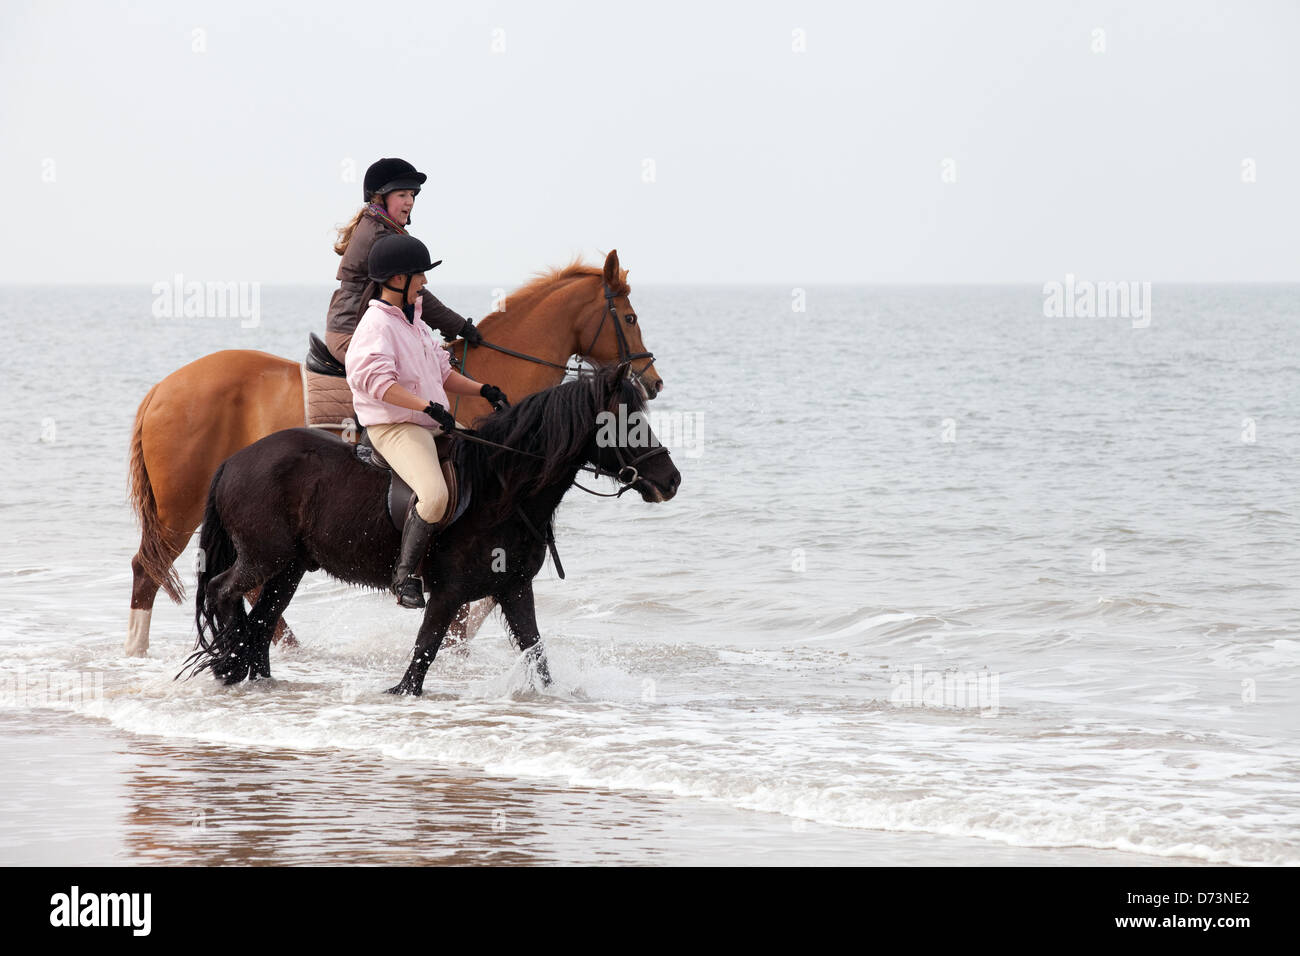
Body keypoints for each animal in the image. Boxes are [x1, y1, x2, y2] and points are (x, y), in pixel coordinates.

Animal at [127, 249, 662, 657]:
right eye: (630, 318)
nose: (653, 382)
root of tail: (161, 389)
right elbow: (468, 602)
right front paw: (456, 645)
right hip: (182, 509)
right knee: (147, 569)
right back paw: (141, 649)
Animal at [180, 362, 680, 695]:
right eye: (624, 422)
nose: (671, 480)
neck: (501, 491)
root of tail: (233, 460)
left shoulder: (515, 588)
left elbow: (537, 656)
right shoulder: (447, 594)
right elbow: (420, 661)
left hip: (289, 568)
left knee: (263, 621)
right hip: (263, 558)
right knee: (224, 592)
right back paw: (227, 667)